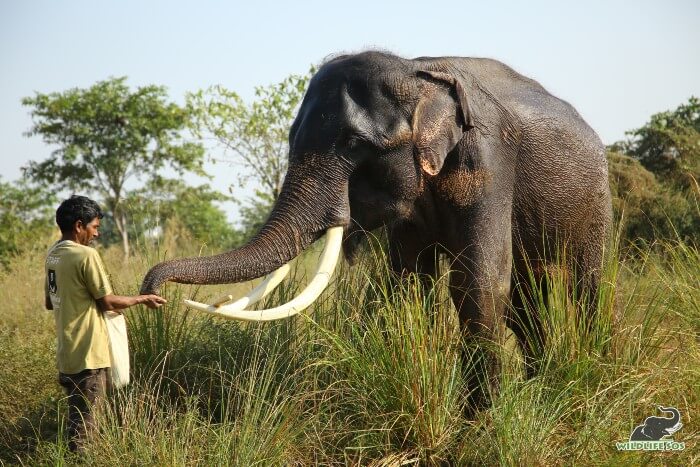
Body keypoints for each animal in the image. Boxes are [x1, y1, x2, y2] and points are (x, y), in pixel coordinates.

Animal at [141, 49, 608, 404]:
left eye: (353, 145)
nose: (153, 295)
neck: (418, 72)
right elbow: (409, 281)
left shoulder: (488, 160)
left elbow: (479, 282)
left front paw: (482, 423)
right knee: (526, 300)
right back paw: (540, 383)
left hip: (598, 200)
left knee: (584, 288)